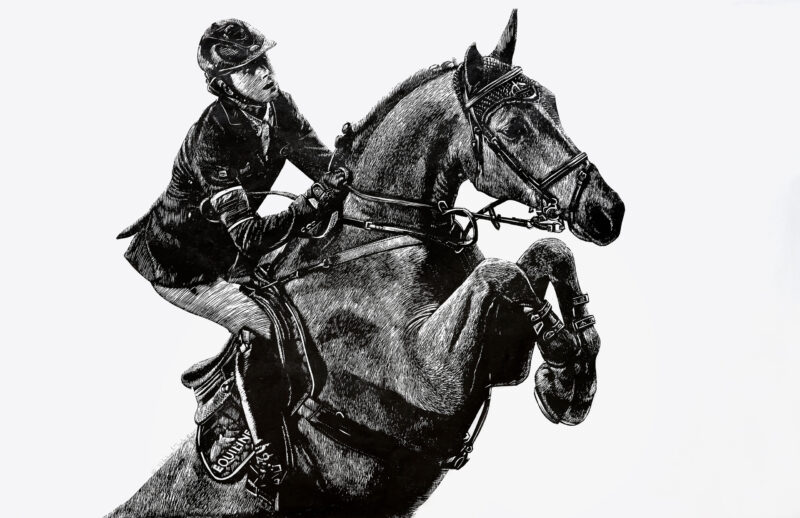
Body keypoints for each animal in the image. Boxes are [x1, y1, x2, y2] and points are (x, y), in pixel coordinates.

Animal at [108, 11, 624, 518]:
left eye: (555, 105)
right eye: (514, 128)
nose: (607, 212)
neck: (386, 228)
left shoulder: (496, 353)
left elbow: (546, 254)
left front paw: (570, 378)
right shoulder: (427, 378)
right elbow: (501, 272)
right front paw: (561, 355)